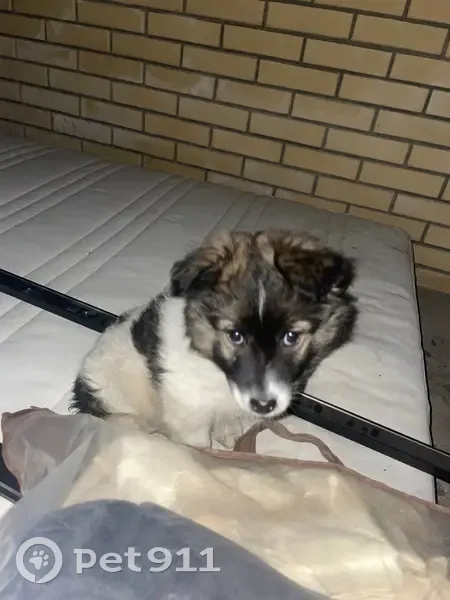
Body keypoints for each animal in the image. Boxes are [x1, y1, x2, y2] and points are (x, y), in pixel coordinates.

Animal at [70, 229, 358, 449]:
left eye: (291, 336)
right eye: (235, 336)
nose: (264, 405)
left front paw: (229, 431)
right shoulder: (188, 401)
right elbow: (197, 440)